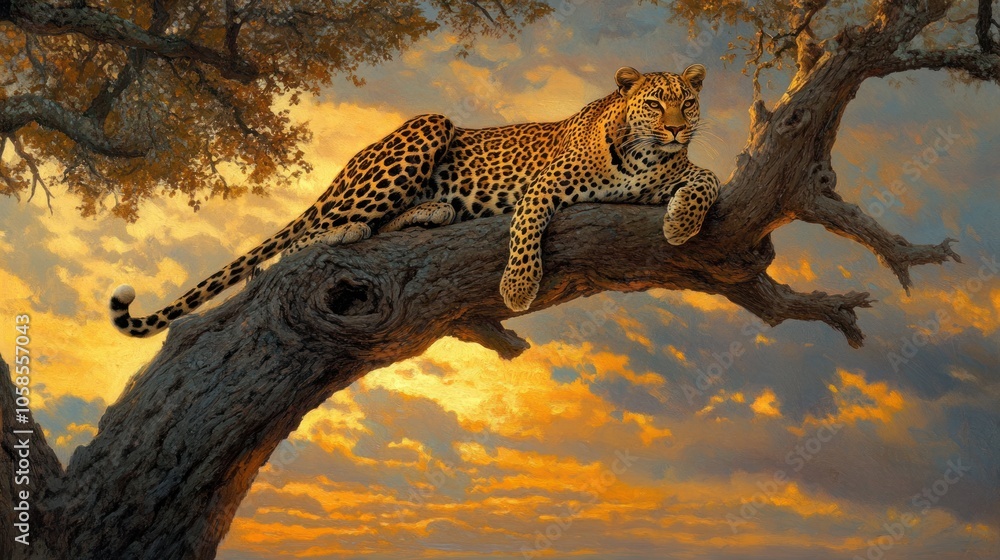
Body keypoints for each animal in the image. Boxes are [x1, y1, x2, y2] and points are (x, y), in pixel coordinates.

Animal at [110, 64, 720, 337]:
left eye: (687, 104)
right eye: (654, 103)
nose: (674, 129)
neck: (642, 157)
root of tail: (347, 165)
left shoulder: (674, 174)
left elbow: (707, 178)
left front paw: (681, 225)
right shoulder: (542, 186)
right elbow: (526, 232)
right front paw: (518, 287)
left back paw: (433, 210)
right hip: (424, 129)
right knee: (299, 242)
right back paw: (344, 231)